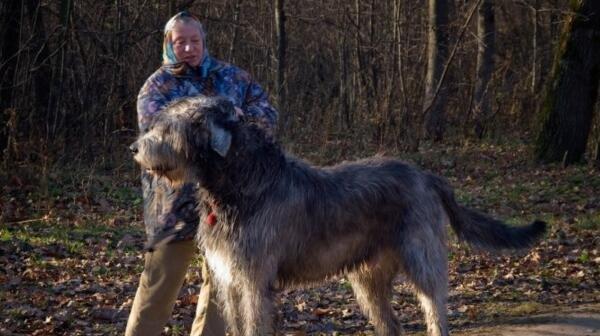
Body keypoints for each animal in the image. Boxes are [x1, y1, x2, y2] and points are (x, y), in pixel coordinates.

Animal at [129, 96, 548, 334]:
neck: (242, 185)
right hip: (367, 277)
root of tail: (426, 175)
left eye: (169, 126)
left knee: (434, 309)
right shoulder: (229, 281)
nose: (134, 148)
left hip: (422, 258)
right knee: (391, 324)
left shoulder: (254, 281)